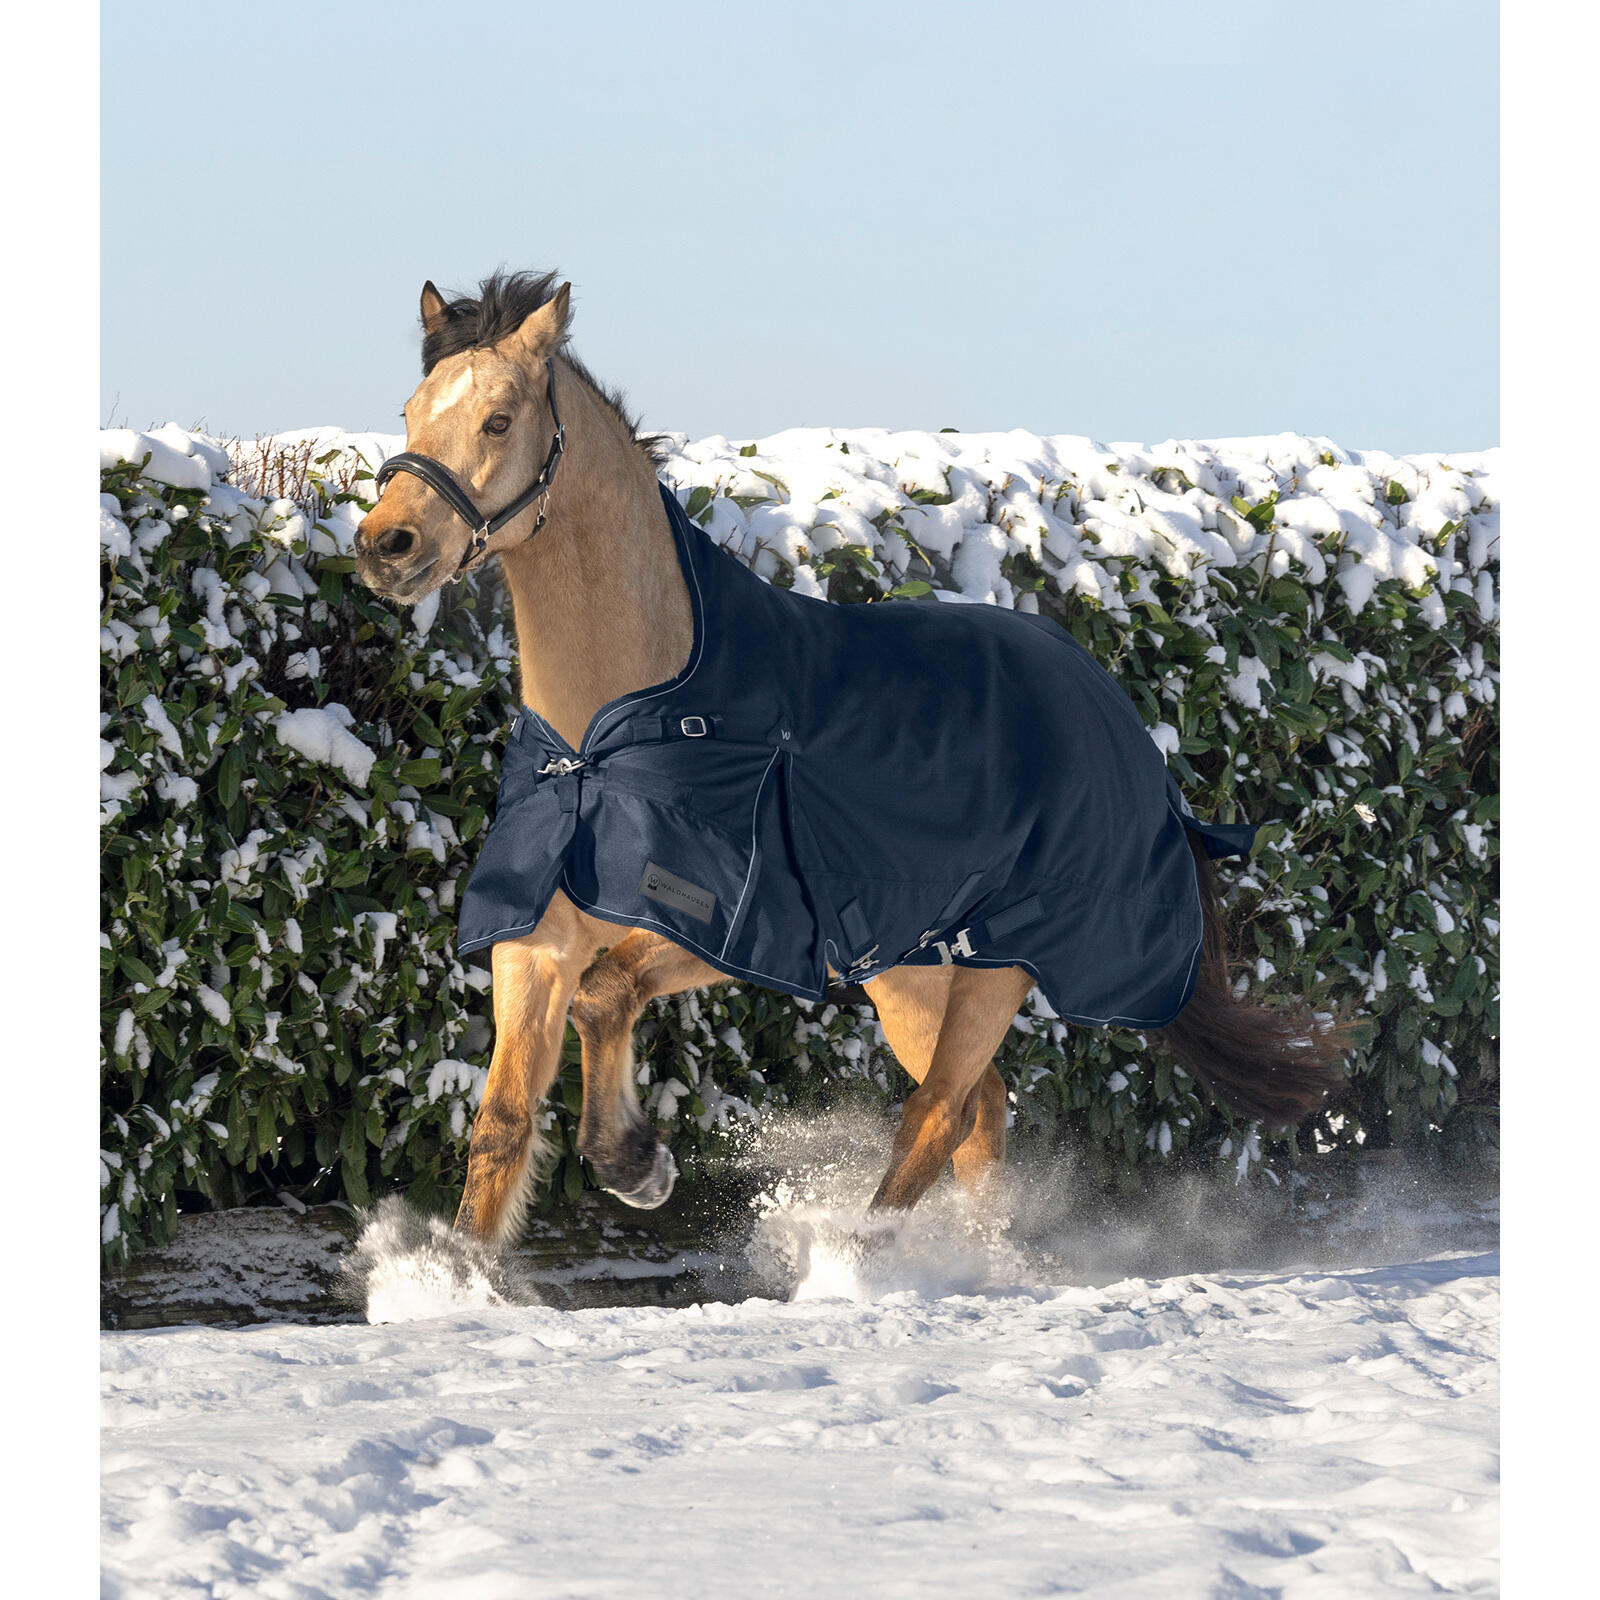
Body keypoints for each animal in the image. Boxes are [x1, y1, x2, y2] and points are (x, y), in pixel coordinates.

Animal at [353, 269, 1350, 1248]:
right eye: (410, 411)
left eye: (497, 420)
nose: (384, 546)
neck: (605, 738)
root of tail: (1118, 716)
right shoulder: (538, 939)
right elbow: (501, 1124)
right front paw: (453, 1277)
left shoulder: (732, 928)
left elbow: (607, 994)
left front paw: (637, 1165)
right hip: (912, 971)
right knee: (979, 1112)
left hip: (999, 963)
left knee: (939, 1112)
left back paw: (861, 1261)